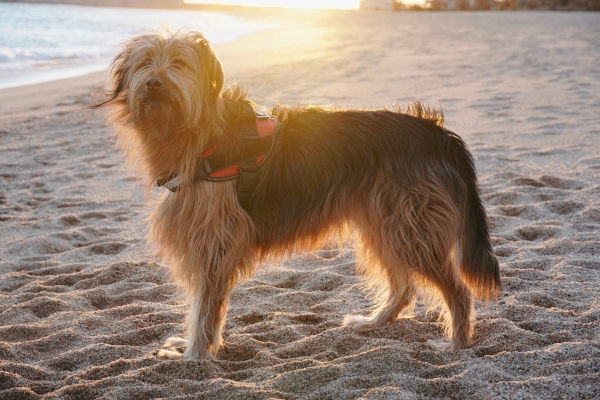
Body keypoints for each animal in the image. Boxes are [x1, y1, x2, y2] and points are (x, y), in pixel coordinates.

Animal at [94, 30, 500, 360]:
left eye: (179, 63)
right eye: (145, 63)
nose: (154, 83)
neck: (198, 134)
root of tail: (437, 134)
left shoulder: (214, 240)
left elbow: (204, 307)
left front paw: (194, 353)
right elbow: (201, 304)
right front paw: (192, 347)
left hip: (410, 224)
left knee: (458, 290)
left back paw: (456, 343)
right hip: (384, 222)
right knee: (404, 286)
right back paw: (374, 321)